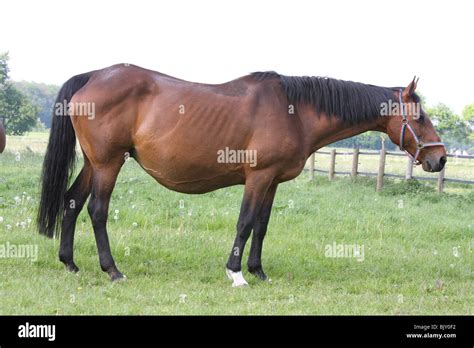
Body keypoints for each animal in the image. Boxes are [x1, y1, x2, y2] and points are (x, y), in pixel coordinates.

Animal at [36, 64, 444, 286]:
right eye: (421, 116)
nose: (439, 158)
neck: (295, 111)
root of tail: (93, 77)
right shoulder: (258, 177)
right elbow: (245, 223)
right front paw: (236, 273)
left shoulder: (272, 181)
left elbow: (261, 226)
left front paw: (258, 270)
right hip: (109, 163)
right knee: (97, 211)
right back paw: (113, 270)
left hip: (94, 162)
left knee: (71, 203)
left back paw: (70, 263)